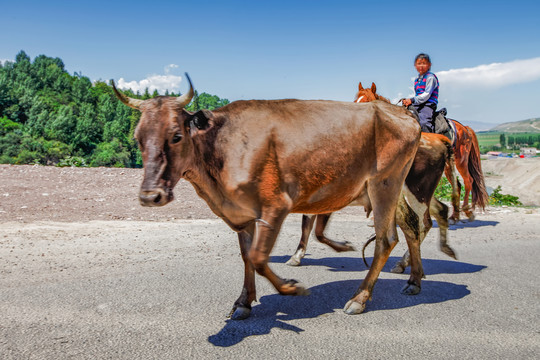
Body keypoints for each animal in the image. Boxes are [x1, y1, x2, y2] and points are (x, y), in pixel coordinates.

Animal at [110, 74, 422, 320]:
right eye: (138, 137)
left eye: (176, 135)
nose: (150, 195)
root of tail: (400, 112)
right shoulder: (241, 214)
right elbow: (247, 256)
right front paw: (243, 302)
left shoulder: (275, 206)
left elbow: (259, 258)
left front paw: (291, 287)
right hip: (390, 190)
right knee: (410, 227)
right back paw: (414, 281)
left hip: (384, 184)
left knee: (386, 240)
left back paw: (359, 298)